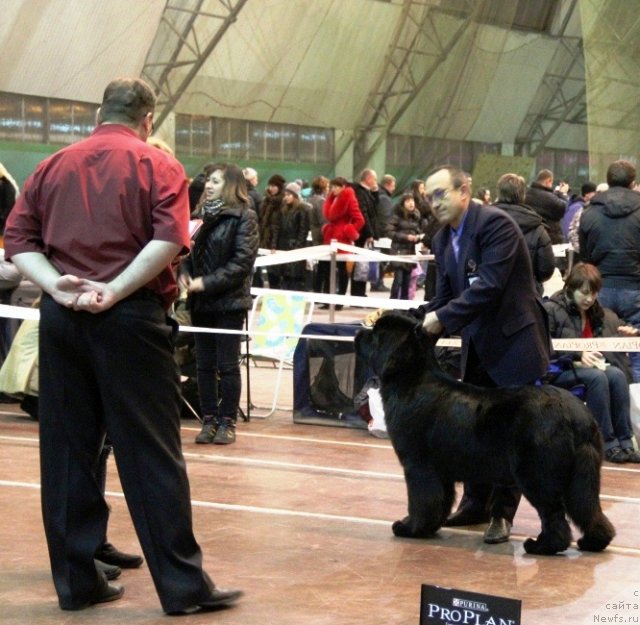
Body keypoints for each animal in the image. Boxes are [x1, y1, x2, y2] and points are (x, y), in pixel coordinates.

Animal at [356, 314, 616, 552]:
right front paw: (429, 527)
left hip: (537, 473)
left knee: (554, 513)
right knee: (588, 508)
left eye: (375, 334)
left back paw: (543, 546)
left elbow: (421, 501)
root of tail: (580, 417)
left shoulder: (419, 466)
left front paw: (411, 528)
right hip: (582, 475)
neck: (411, 380)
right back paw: (594, 542)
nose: (359, 331)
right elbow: (440, 501)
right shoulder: (441, 472)